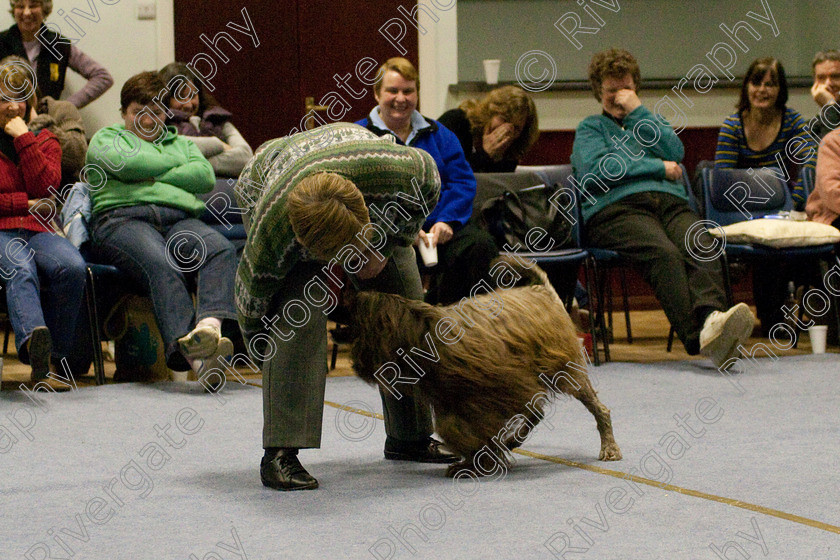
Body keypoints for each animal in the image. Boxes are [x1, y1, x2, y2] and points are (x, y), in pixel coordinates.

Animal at [344, 255, 620, 476]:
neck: (421, 333)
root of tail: (542, 292)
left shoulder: (494, 390)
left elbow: (463, 428)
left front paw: (477, 461)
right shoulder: (458, 398)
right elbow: (460, 427)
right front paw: (480, 457)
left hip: (565, 368)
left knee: (597, 409)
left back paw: (609, 446)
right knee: (537, 412)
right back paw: (511, 441)